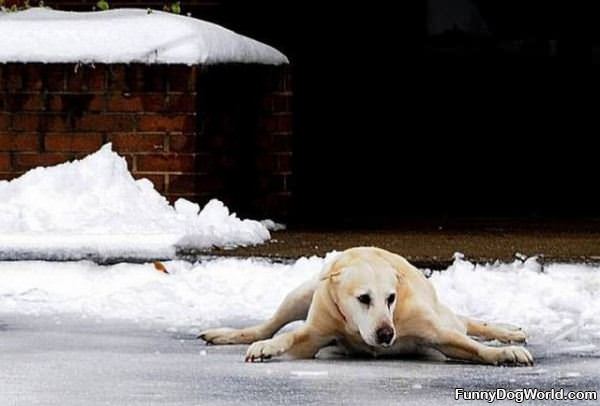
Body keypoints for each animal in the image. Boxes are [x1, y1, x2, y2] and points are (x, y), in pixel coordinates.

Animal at [199, 246, 532, 366]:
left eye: (391, 298)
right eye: (363, 299)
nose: (386, 334)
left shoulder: (436, 333)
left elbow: (471, 346)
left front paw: (505, 352)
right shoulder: (317, 329)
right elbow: (290, 336)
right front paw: (266, 348)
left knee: (466, 324)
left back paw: (510, 332)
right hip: (304, 292)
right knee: (268, 325)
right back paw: (227, 334)